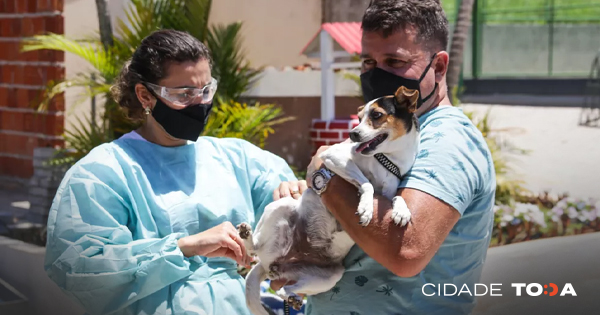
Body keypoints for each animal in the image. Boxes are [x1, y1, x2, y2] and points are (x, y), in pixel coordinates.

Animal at [237, 86, 420, 315]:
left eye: (377, 115)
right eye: (359, 117)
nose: (352, 134)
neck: (386, 159)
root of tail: (279, 260)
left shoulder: (388, 191)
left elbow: (396, 196)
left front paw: (401, 211)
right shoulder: (335, 157)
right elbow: (367, 184)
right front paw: (366, 207)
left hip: (327, 276)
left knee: (283, 289)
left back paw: (293, 298)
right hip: (281, 207)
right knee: (254, 250)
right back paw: (247, 235)